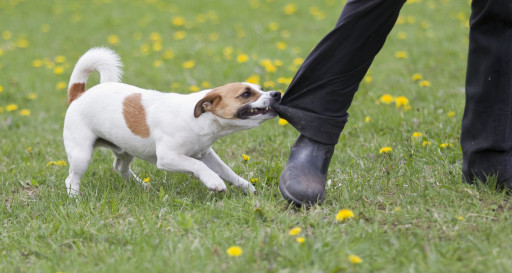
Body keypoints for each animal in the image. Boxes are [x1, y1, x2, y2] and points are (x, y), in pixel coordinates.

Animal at [63, 47, 282, 196]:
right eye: (246, 94)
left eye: (261, 88)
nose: (277, 94)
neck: (199, 120)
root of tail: (78, 94)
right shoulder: (168, 157)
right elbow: (197, 165)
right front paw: (214, 182)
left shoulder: (206, 154)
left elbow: (227, 171)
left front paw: (246, 186)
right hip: (81, 154)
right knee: (71, 179)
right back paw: (76, 198)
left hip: (125, 150)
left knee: (120, 168)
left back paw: (141, 186)